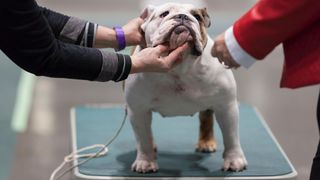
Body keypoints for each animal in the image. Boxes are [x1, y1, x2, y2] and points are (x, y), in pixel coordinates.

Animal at [124, 2, 248, 174]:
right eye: (164, 14)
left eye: (197, 17)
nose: (182, 17)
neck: (179, 68)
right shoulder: (138, 110)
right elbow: (143, 138)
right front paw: (145, 162)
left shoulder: (227, 106)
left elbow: (231, 137)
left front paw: (234, 160)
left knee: (206, 118)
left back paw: (206, 143)